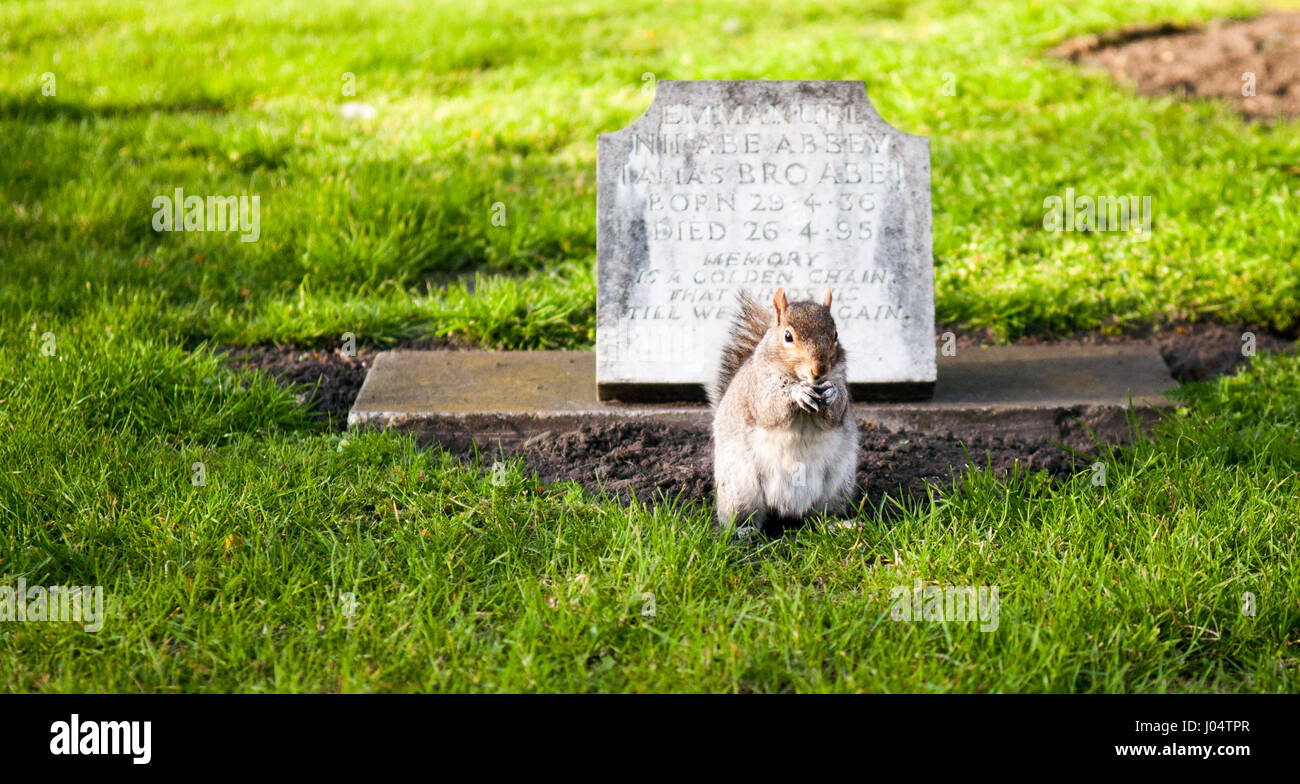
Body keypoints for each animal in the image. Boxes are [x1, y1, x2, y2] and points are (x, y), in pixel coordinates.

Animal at [710, 287, 859, 533]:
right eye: (788, 336)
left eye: (836, 334)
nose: (819, 369)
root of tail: (788, 509)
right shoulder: (758, 389)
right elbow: (770, 408)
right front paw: (797, 393)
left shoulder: (840, 379)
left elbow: (836, 412)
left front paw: (832, 393)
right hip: (740, 488)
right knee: (745, 515)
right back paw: (743, 530)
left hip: (836, 485)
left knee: (821, 514)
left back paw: (838, 524)